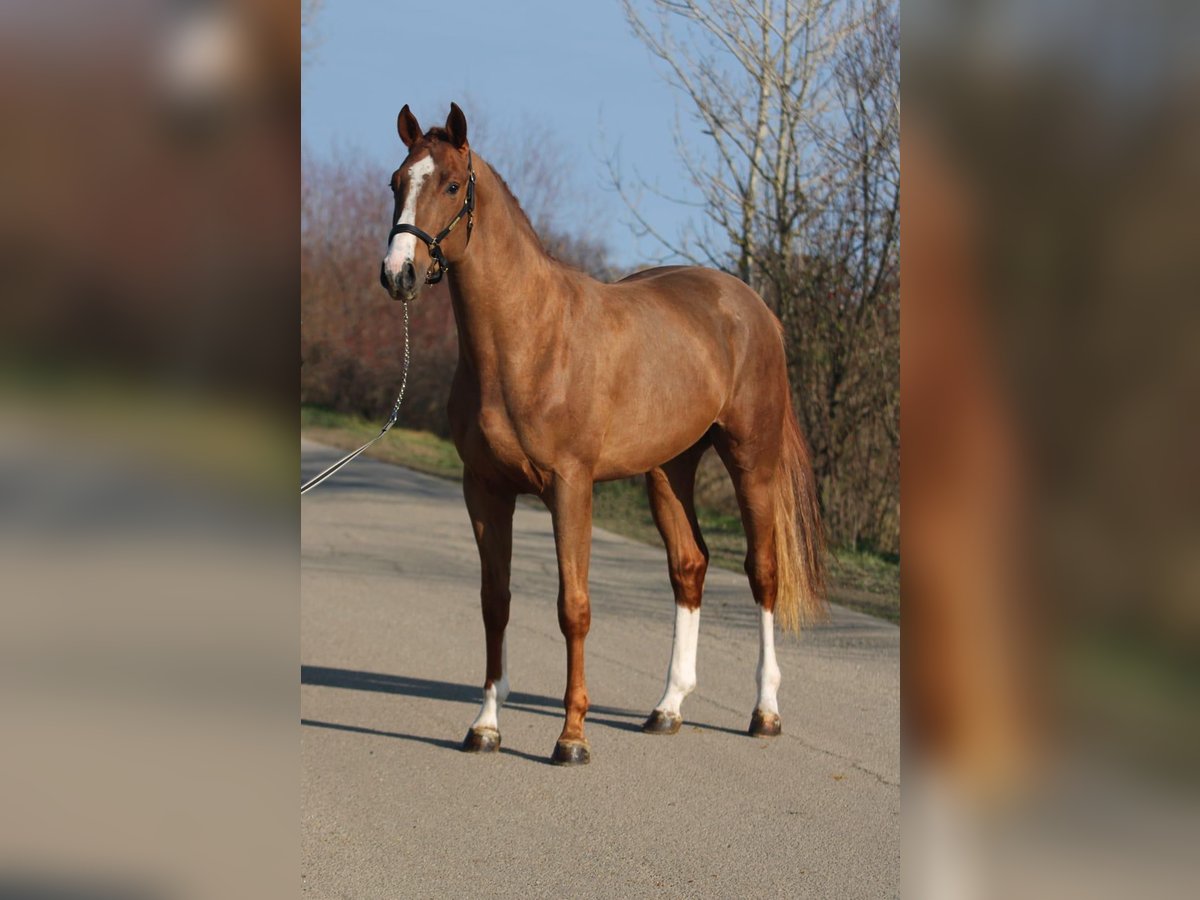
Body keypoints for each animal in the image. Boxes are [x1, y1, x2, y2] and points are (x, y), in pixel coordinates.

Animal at [379, 103, 827, 765]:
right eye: (396, 183)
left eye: (453, 186)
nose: (398, 274)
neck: (527, 343)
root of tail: (753, 308)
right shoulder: (484, 489)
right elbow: (495, 602)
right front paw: (485, 725)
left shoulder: (571, 487)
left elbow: (574, 607)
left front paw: (571, 737)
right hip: (670, 469)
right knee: (689, 566)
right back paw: (667, 708)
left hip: (753, 460)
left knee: (762, 572)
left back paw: (764, 711)